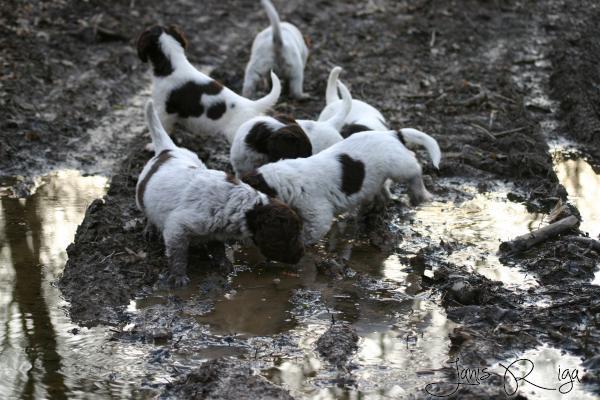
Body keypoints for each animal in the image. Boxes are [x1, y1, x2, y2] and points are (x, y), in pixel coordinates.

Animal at [136, 100, 304, 287]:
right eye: (291, 236)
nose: (302, 255)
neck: (242, 207)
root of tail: (168, 150)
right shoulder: (177, 227)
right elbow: (178, 254)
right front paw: (178, 276)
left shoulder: (215, 231)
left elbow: (218, 248)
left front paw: (224, 264)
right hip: (142, 196)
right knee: (148, 213)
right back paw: (150, 229)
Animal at [242, 129, 441, 245]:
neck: (285, 179)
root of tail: (392, 134)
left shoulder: (318, 214)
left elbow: (310, 233)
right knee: (383, 189)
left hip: (398, 165)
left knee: (415, 167)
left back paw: (421, 194)